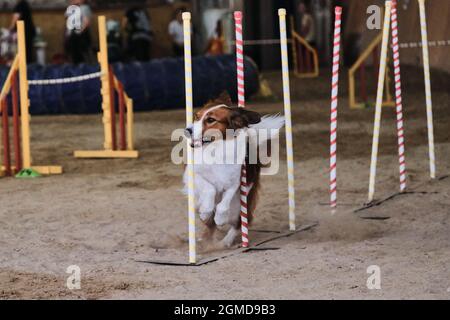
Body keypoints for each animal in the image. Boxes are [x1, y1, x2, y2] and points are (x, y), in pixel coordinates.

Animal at [183, 92, 284, 248]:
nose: (188, 130)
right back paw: (205, 237)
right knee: (210, 225)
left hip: (239, 206)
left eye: (210, 120)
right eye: (196, 116)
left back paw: (225, 241)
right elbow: (210, 189)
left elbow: (224, 203)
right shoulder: (193, 175)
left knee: (240, 222)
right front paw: (206, 211)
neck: (216, 149)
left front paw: (220, 218)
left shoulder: (238, 182)